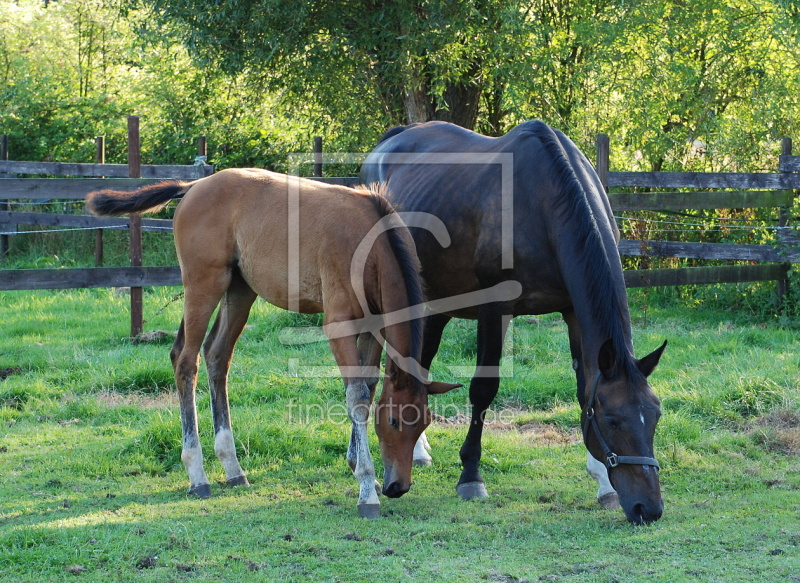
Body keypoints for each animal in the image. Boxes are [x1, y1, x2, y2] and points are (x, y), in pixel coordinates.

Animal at [86, 170, 456, 520]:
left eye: (424, 423)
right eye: (393, 422)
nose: (398, 486)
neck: (371, 245)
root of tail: (194, 186)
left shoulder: (372, 326)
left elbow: (367, 385)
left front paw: (358, 466)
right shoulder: (338, 324)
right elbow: (358, 397)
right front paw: (367, 487)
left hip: (239, 290)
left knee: (217, 355)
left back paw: (232, 467)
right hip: (204, 284)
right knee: (186, 361)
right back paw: (198, 474)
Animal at [362, 120, 668, 524]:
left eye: (655, 415)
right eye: (614, 420)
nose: (649, 508)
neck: (542, 204)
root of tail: (391, 140)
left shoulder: (573, 311)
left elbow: (584, 387)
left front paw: (603, 483)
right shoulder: (495, 307)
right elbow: (483, 389)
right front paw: (470, 476)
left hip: (437, 302)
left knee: (419, 366)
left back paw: (418, 451)